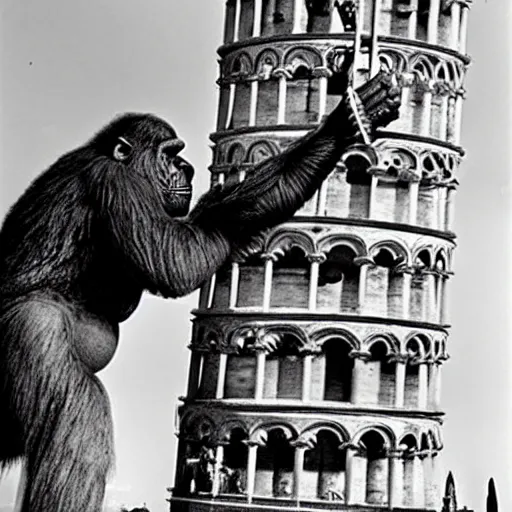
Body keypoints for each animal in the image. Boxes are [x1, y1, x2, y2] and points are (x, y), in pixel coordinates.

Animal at [0, 71, 398, 508]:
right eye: (169, 155)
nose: (185, 167)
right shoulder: (118, 185)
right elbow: (174, 258)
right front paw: (340, 125)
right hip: (30, 331)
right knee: (80, 427)